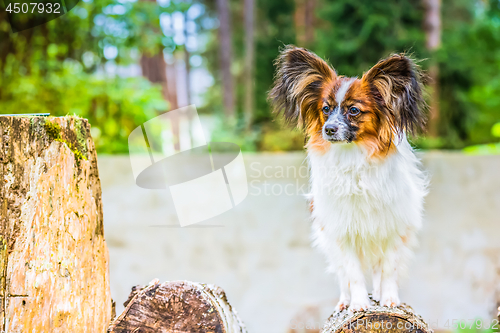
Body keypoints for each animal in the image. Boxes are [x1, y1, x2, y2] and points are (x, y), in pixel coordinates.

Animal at [268, 46, 428, 312]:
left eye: (353, 110)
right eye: (325, 109)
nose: (329, 130)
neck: (353, 156)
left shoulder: (393, 228)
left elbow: (388, 269)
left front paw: (388, 299)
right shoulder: (342, 231)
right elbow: (352, 273)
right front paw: (359, 303)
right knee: (342, 274)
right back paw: (345, 300)